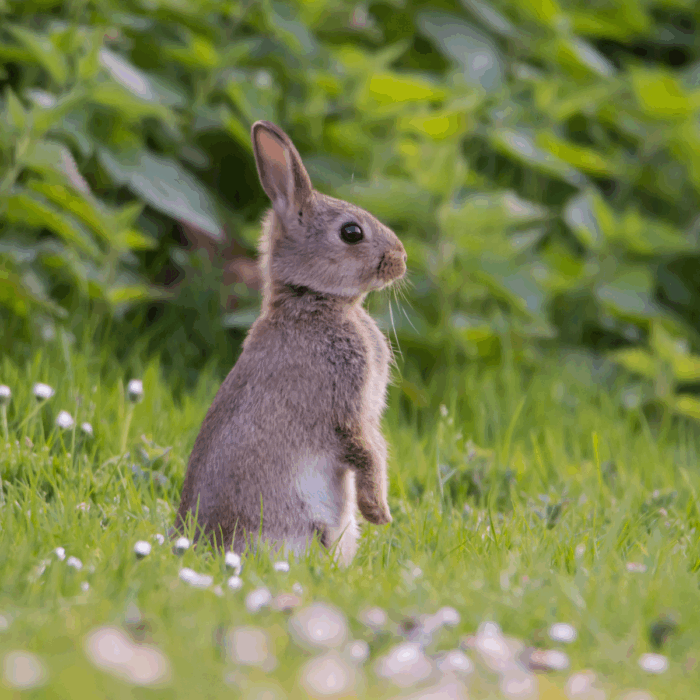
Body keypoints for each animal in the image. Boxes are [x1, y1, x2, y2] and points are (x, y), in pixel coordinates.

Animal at [173, 120, 407, 566]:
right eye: (351, 233)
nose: (401, 259)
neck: (312, 300)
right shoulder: (346, 404)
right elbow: (365, 450)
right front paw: (379, 512)